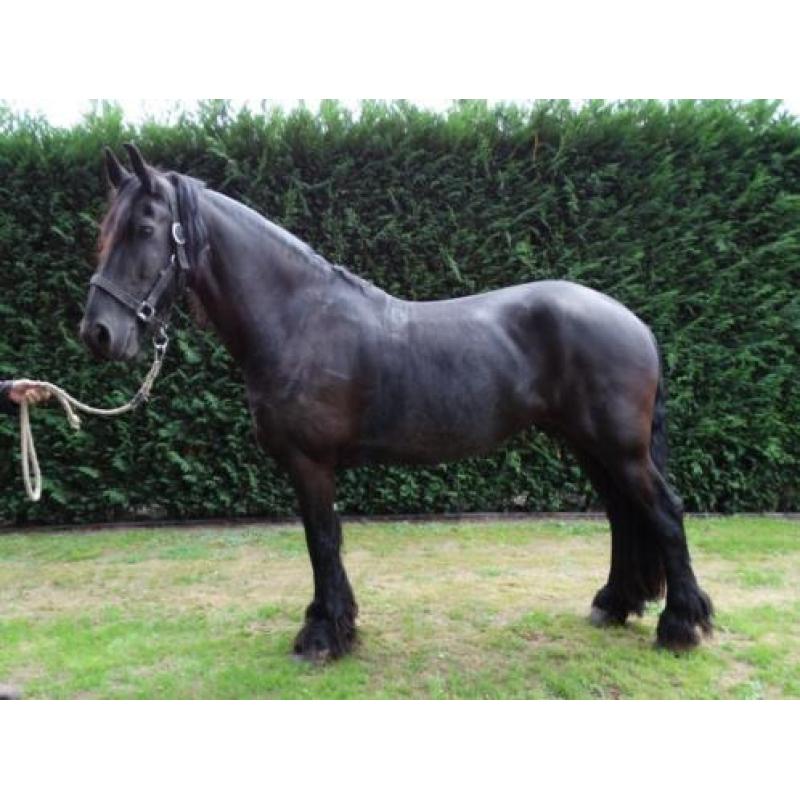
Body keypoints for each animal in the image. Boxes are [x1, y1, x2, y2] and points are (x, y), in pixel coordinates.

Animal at [79, 144, 713, 661]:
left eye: (144, 227)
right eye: (104, 230)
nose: (99, 333)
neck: (298, 319)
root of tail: (633, 322)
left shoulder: (311, 464)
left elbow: (321, 541)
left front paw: (322, 636)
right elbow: (324, 544)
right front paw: (334, 625)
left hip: (620, 449)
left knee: (664, 512)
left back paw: (681, 627)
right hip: (591, 446)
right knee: (623, 517)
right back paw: (614, 604)